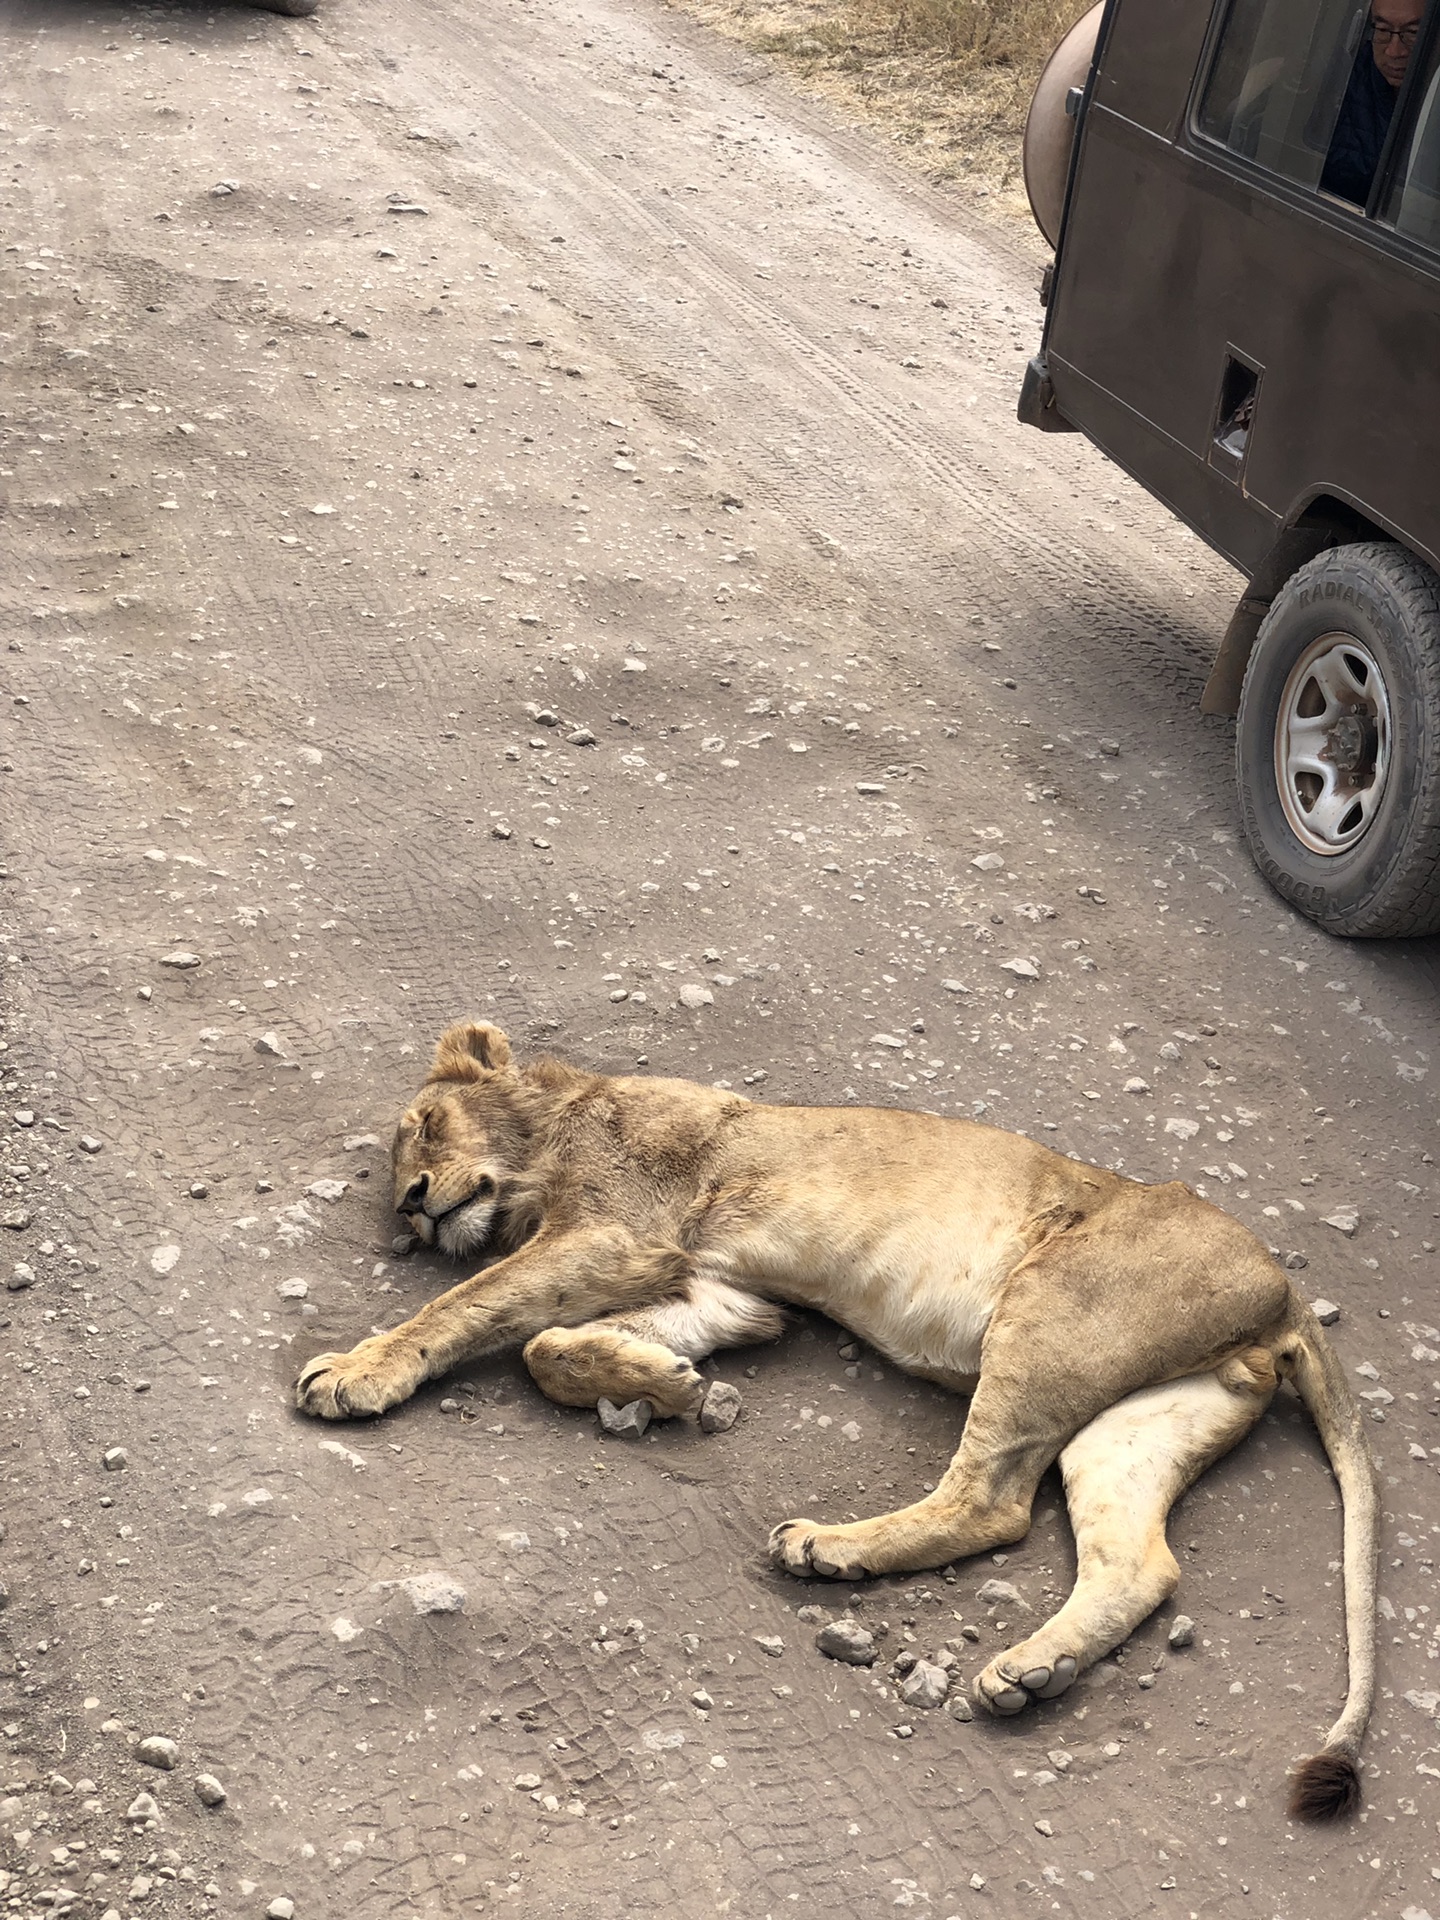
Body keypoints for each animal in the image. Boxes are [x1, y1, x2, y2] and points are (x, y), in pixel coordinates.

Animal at [289, 1021, 1374, 1812]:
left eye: (426, 1125)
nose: (411, 1207)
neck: (559, 1121)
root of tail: (1284, 1291)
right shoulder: (721, 1289)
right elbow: (546, 1345)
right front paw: (667, 1384)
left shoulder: (617, 1227)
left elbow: (473, 1311)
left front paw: (356, 1370)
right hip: (1135, 1421)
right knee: (1134, 1562)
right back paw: (1031, 1672)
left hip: (1051, 1311)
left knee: (992, 1502)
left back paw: (828, 1551)